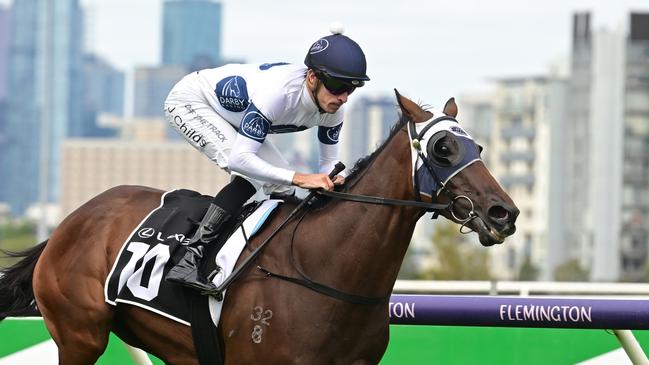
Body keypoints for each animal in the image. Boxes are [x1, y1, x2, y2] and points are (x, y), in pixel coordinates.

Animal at [0, 91, 516, 364]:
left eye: (479, 147)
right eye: (443, 149)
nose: (502, 213)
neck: (324, 270)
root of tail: (70, 222)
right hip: (80, 335)